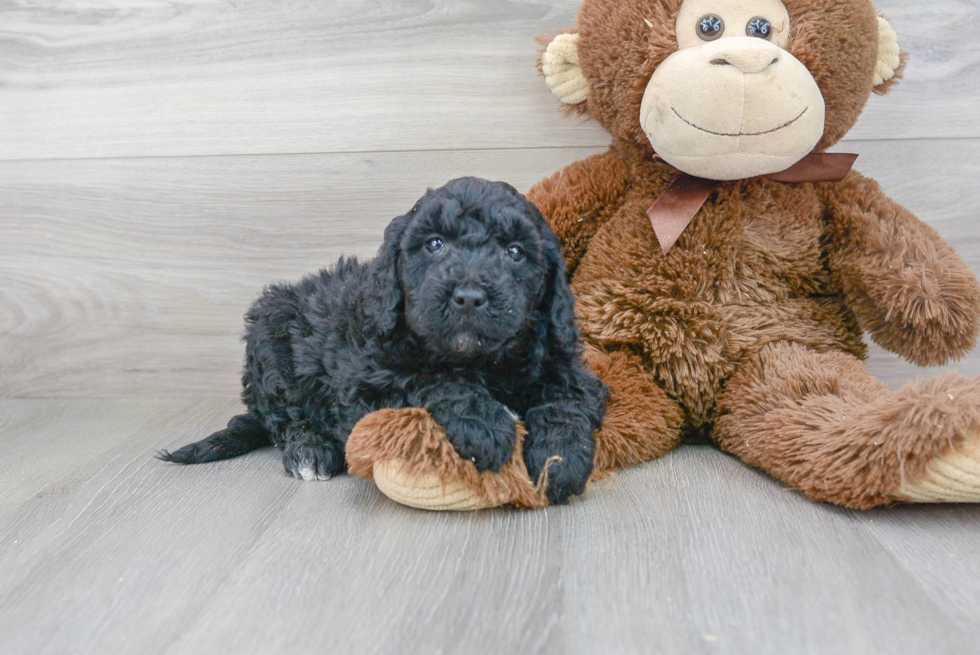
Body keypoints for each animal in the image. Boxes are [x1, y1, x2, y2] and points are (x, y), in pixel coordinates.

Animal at [160, 177, 604, 504]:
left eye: (514, 252)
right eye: (434, 244)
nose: (469, 297)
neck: (474, 360)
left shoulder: (570, 370)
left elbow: (567, 403)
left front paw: (558, 460)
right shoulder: (366, 387)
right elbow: (431, 381)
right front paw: (486, 424)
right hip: (271, 335)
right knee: (283, 420)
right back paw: (310, 451)